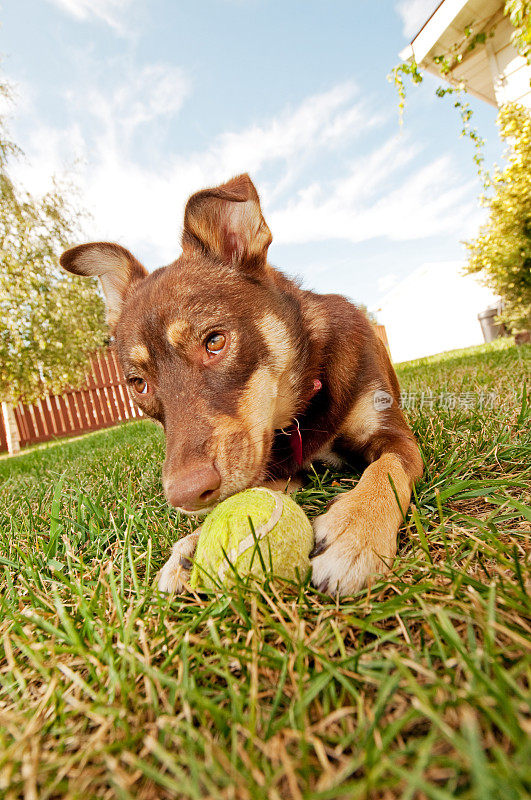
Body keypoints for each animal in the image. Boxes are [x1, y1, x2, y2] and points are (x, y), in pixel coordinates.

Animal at [60, 177, 422, 600]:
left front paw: (355, 532)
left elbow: (385, 471)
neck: (305, 398)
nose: (186, 496)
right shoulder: (272, 466)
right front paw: (194, 543)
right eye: (138, 383)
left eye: (215, 341)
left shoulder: (395, 437)